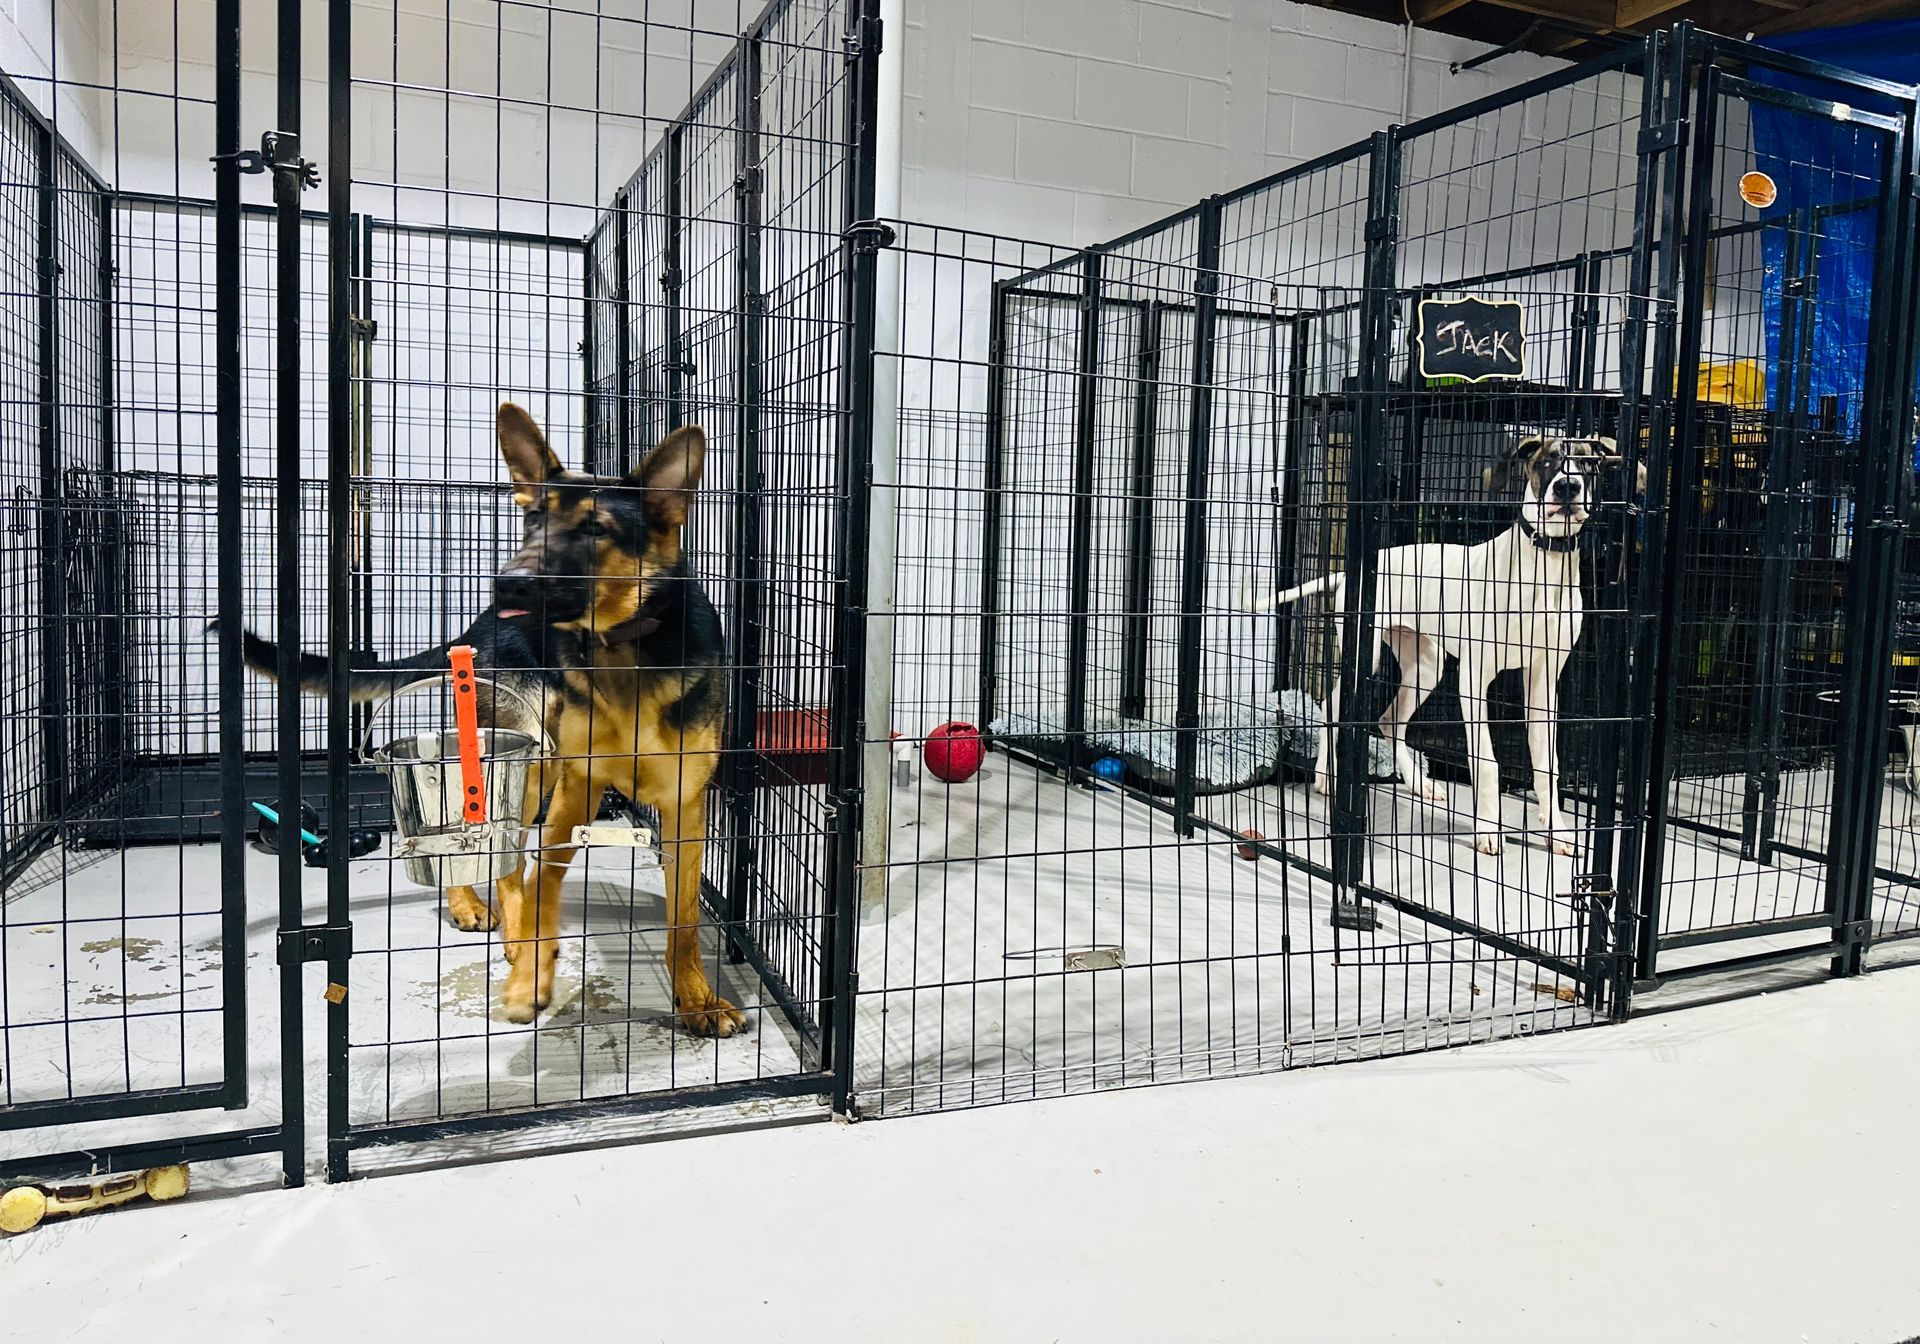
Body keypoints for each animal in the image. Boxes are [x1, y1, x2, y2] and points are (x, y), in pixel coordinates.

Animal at [236, 405, 744, 1036]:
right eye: (532, 520)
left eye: (594, 529)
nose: (508, 582)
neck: (624, 652)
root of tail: (478, 626)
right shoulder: (574, 790)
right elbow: (539, 881)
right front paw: (532, 973)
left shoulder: (683, 807)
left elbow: (685, 920)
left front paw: (697, 997)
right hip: (530, 759)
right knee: (502, 858)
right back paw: (495, 921)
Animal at [1244, 441, 1635, 860]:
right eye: (1546, 461)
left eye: (1588, 464)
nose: (1567, 487)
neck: (1542, 565)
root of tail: (1351, 571)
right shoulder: (1473, 680)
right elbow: (1487, 762)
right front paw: (1487, 831)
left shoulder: (1544, 682)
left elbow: (1548, 764)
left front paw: (1557, 830)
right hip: (1364, 658)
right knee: (1331, 707)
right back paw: (1324, 777)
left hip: (1426, 668)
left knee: (1389, 721)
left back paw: (1420, 784)